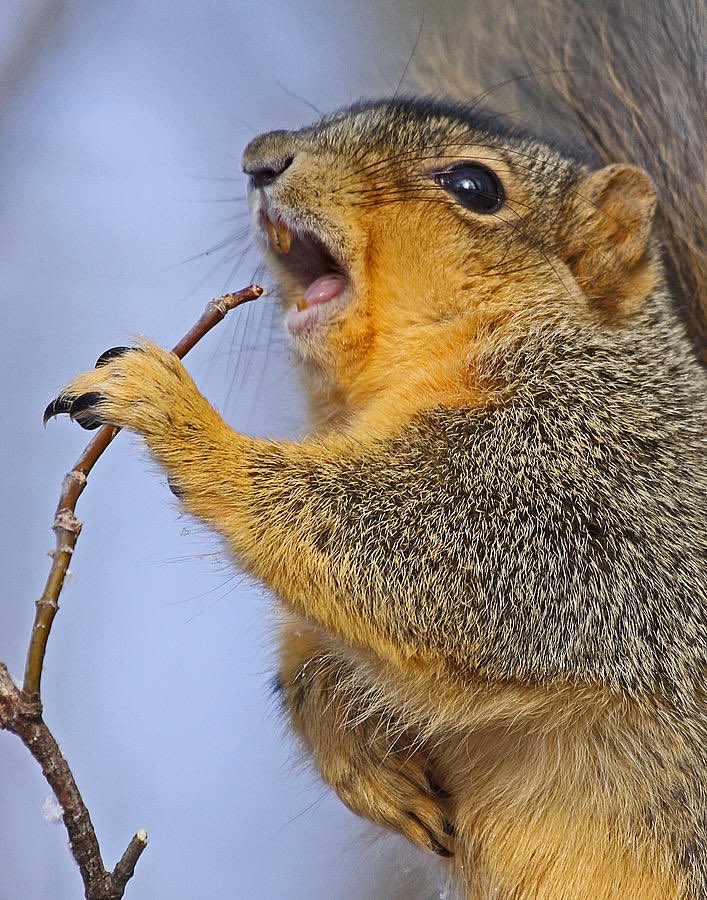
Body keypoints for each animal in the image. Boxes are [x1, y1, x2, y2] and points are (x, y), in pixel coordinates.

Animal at [47, 0, 705, 897]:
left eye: (474, 187)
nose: (261, 159)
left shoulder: (595, 493)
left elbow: (431, 560)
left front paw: (181, 415)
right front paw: (339, 730)